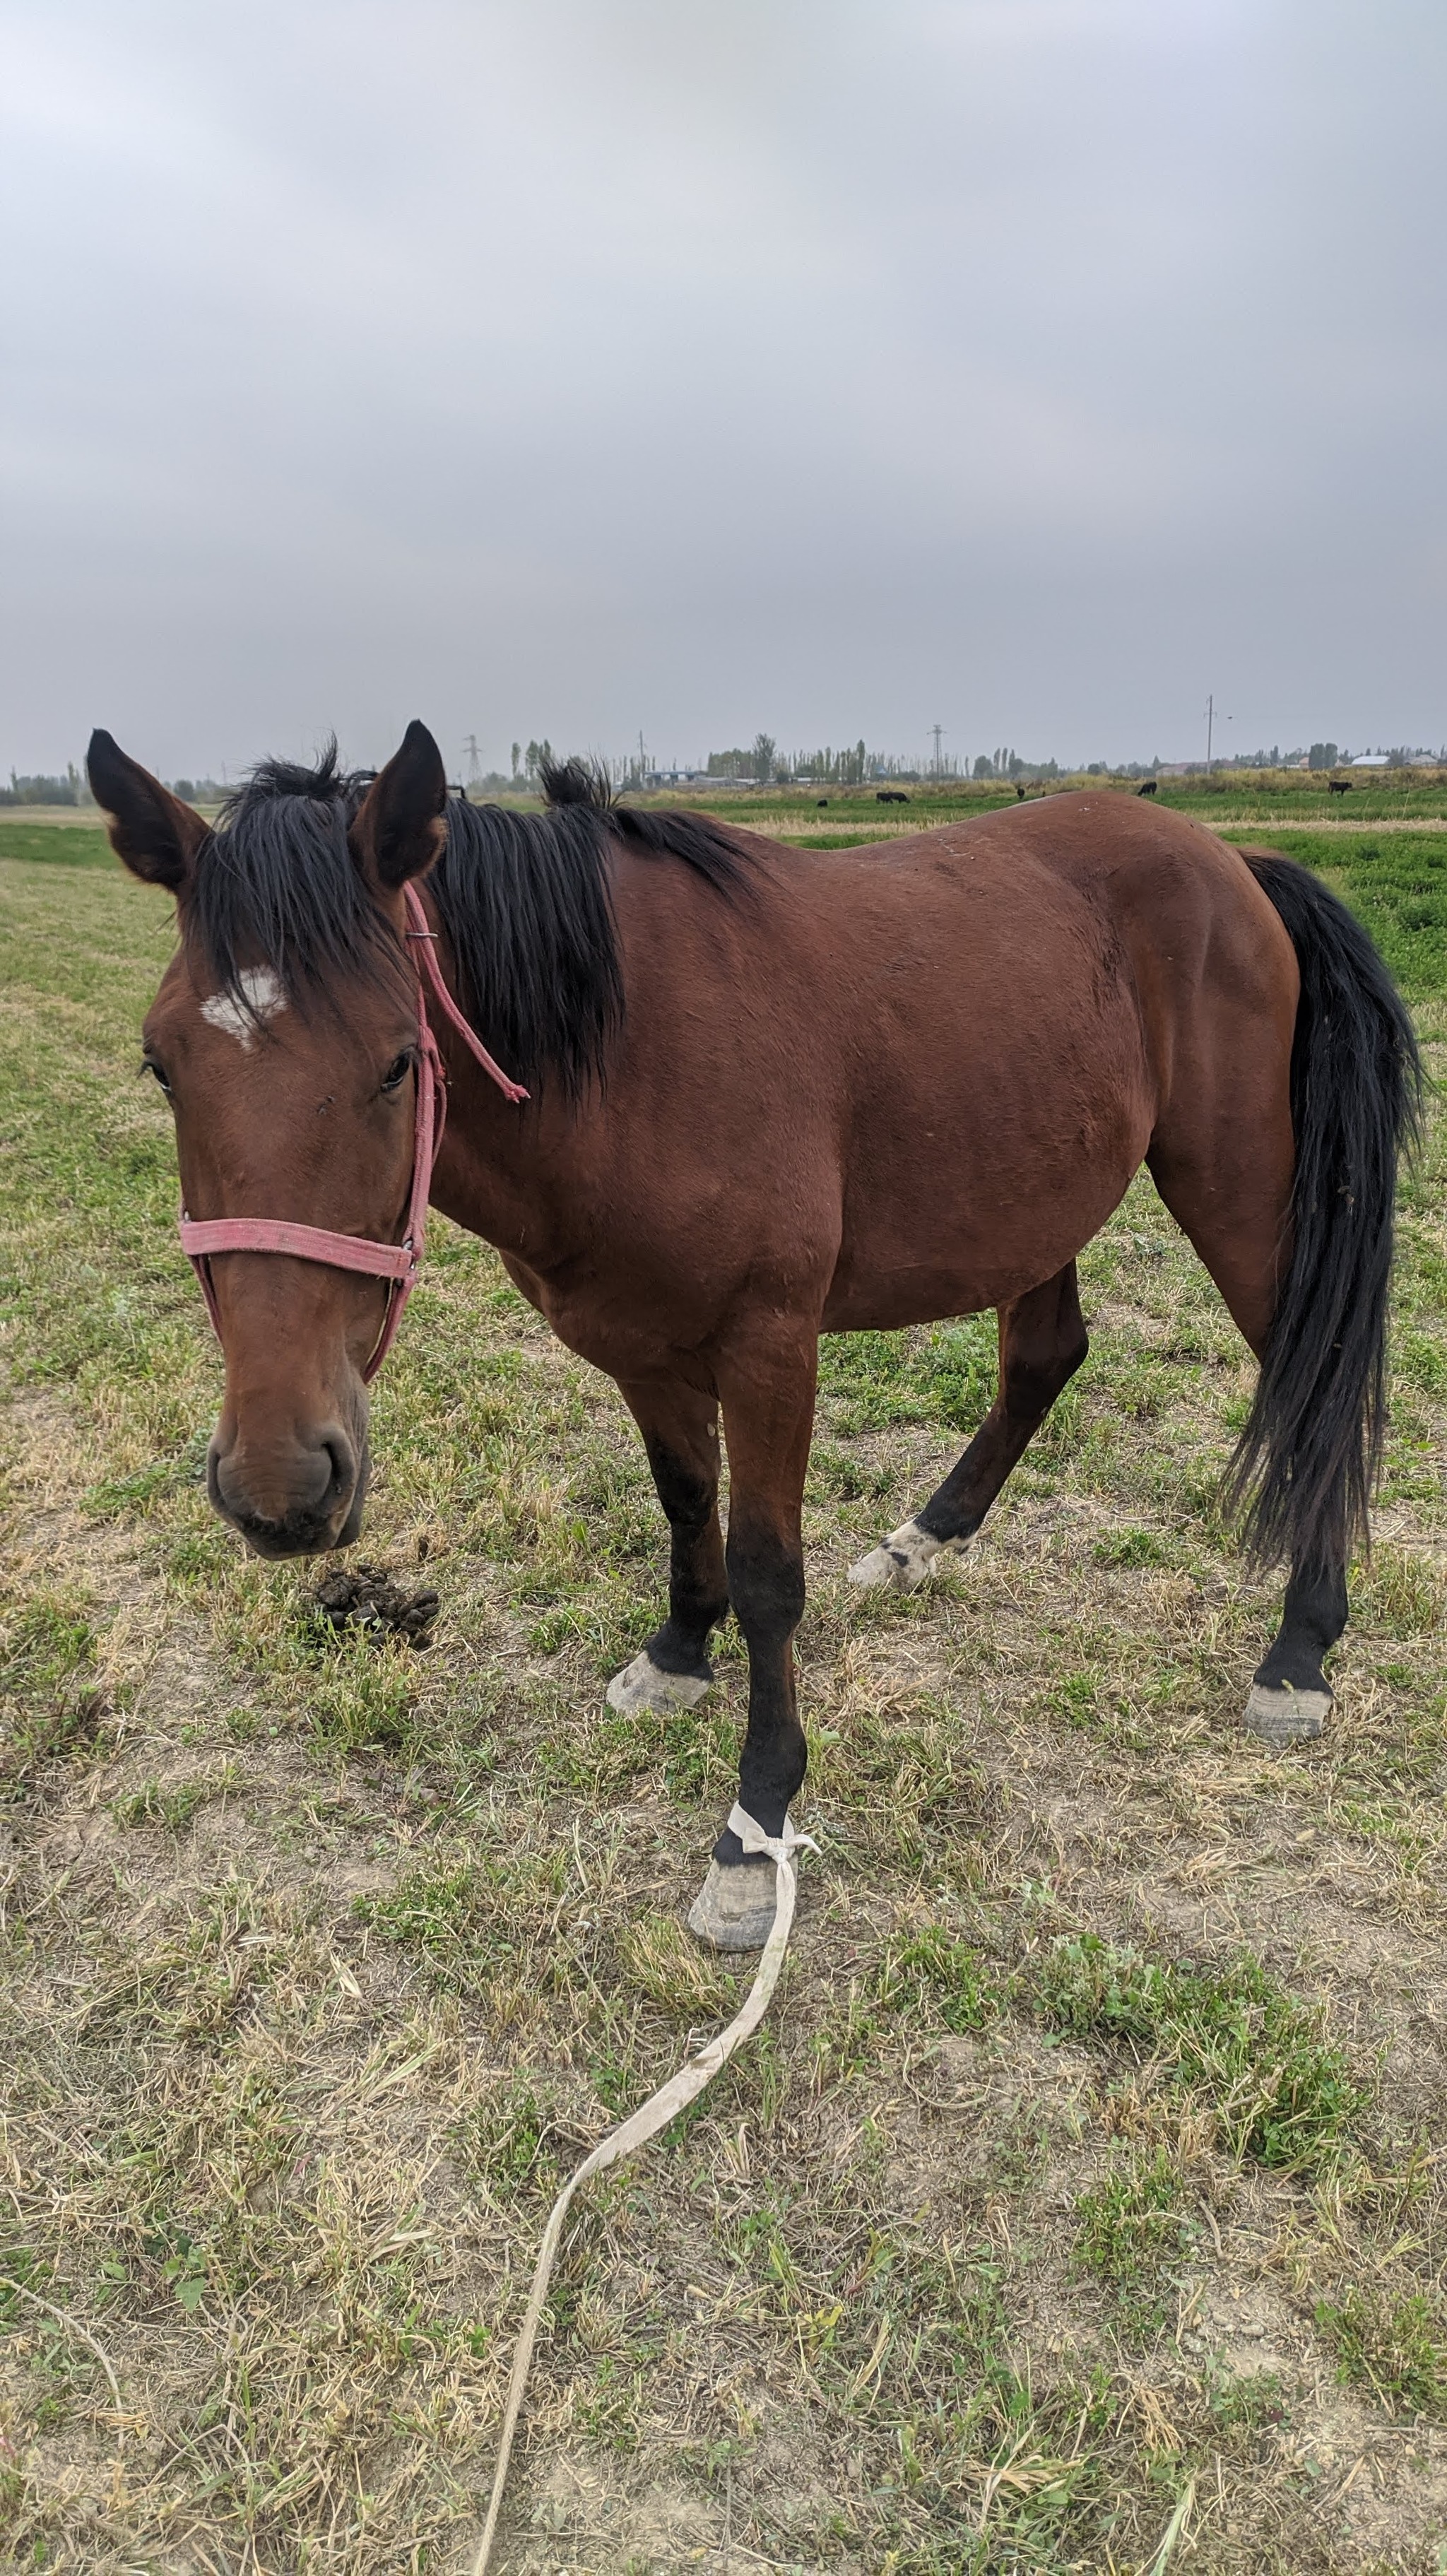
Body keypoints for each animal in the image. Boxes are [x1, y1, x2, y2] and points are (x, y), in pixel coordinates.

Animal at [87, 716, 1410, 1937]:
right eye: (161, 1064)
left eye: (399, 1061)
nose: (281, 1484)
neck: (625, 1052)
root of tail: (1233, 860)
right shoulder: (638, 1342)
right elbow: (688, 1505)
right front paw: (680, 1653)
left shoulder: (771, 1346)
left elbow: (771, 1573)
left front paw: (754, 1824)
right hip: (1036, 1196)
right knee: (1044, 1357)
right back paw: (925, 1539)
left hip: (1232, 1187)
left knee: (1311, 1378)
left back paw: (1300, 1650)